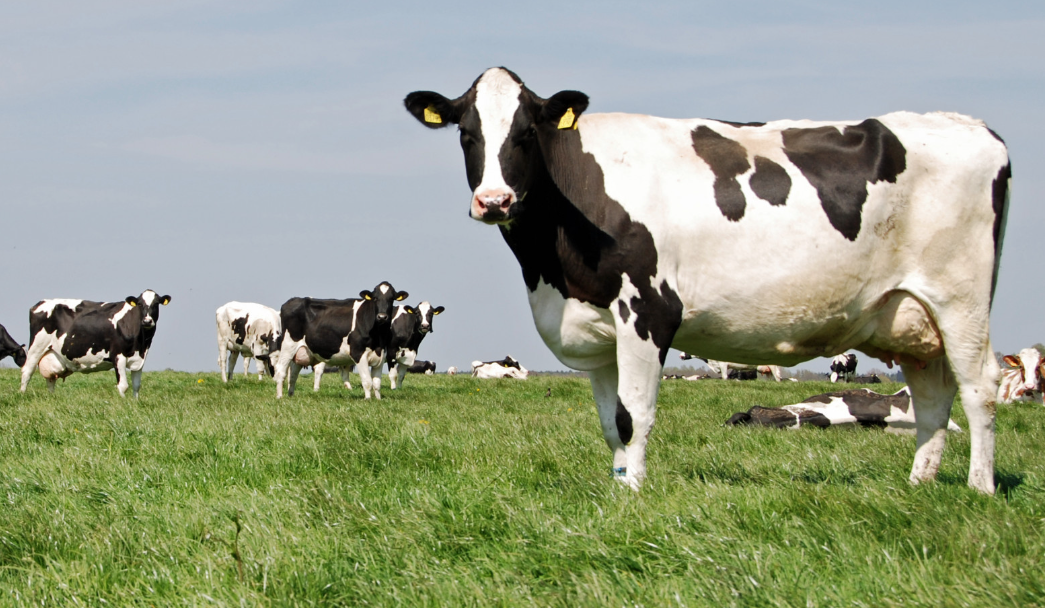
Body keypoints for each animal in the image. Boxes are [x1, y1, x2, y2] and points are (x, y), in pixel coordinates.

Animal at [18, 292, 172, 401]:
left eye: (156, 304)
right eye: (139, 304)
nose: (147, 321)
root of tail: (41, 302)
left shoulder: (140, 359)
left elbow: (136, 385)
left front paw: (135, 403)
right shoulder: (118, 356)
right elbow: (123, 386)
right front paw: (124, 404)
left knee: (50, 378)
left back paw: (51, 398)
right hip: (36, 347)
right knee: (27, 371)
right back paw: (22, 395)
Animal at [269, 282, 407, 401]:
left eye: (391, 299)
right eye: (375, 298)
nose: (382, 317)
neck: (378, 337)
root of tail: (292, 301)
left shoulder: (381, 355)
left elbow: (377, 383)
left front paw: (378, 400)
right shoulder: (358, 353)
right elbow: (367, 381)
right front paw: (368, 399)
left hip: (301, 351)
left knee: (293, 373)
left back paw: (290, 395)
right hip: (288, 346)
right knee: (281, 371)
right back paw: (279, 396)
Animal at [405, 67, 1011, 495]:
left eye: (527, 132)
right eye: (466, 134)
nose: (494, 201)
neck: (552, 268)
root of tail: (973, 126)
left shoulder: (648, 310)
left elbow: (634, 415)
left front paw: (633, 498)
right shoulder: (597, 331)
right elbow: (610, 421)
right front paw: (617, 490)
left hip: (961, 299)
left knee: (979, 386)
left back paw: (978, 489)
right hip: (912, 317)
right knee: (932, 396)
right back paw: (918, 486)